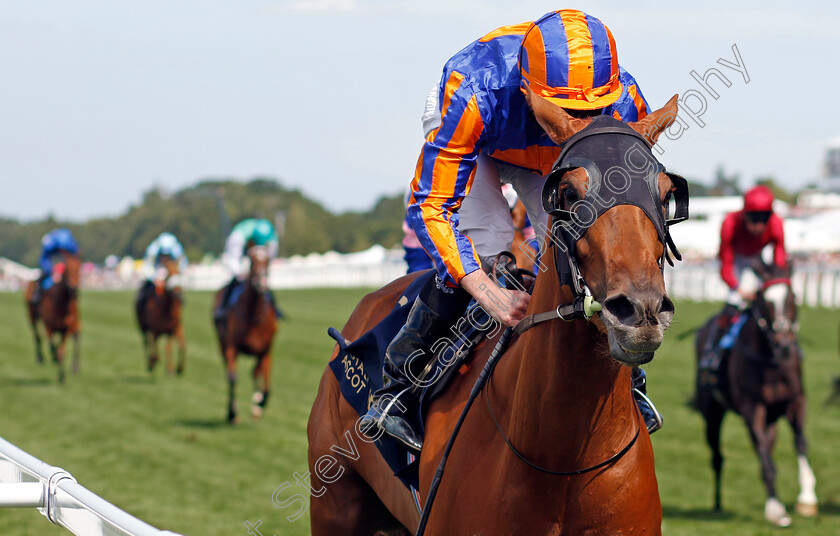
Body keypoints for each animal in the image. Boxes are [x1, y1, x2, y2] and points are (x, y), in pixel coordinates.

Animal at [24, 253, 81, 384]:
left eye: (79, 268)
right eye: (67, 269)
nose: (74, 289)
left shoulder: (66, 328)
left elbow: (62, 351)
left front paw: (62, 376)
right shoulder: (49, 327)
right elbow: (52, 347)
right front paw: (54, 360)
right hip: (31, 314)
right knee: (36, 335)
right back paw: (40, 358)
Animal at [212, 246, 278, 422]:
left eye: (267, 261)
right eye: (251, 261)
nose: (261, 283)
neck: (253, 315)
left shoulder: (265, 350)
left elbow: (265, 384)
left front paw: (259, 404)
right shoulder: (232, 347)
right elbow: (233, 377)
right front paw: (232, 412)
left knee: (256, 373)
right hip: (222, 343)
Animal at [696, 264, 820, 528]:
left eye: (793, 297)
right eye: (765, 301)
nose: (785, 346)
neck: (771, 363)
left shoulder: (796, 401)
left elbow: (800, 443)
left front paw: (807, 498)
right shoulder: (752, 409)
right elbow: (764, 458)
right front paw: (775, 510)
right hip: (711, 412)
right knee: (718, 457)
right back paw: (717, 504)